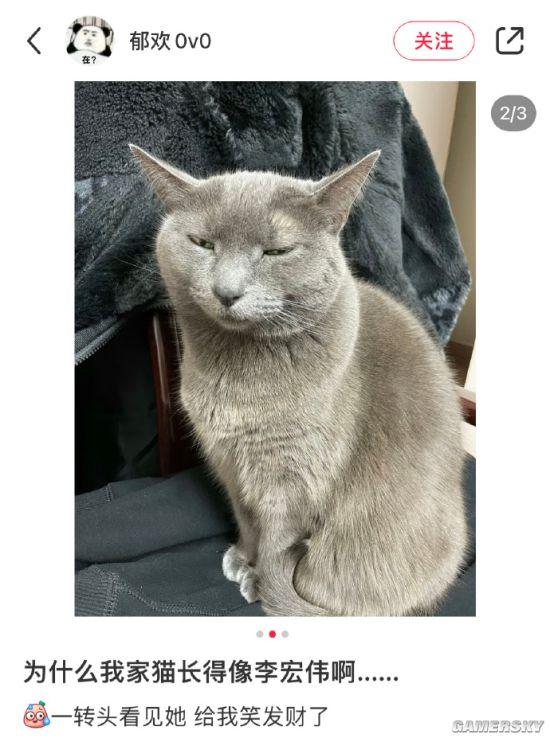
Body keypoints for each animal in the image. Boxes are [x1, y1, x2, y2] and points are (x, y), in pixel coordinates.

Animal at [131, 143, 467, 616]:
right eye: (202, 243)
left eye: (276, 252)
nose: (226, 291)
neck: (238, 374)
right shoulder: (226, 461)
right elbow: (245, 517)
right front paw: (243, 556)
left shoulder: (295, 475)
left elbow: (277, 536)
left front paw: (259, 579)